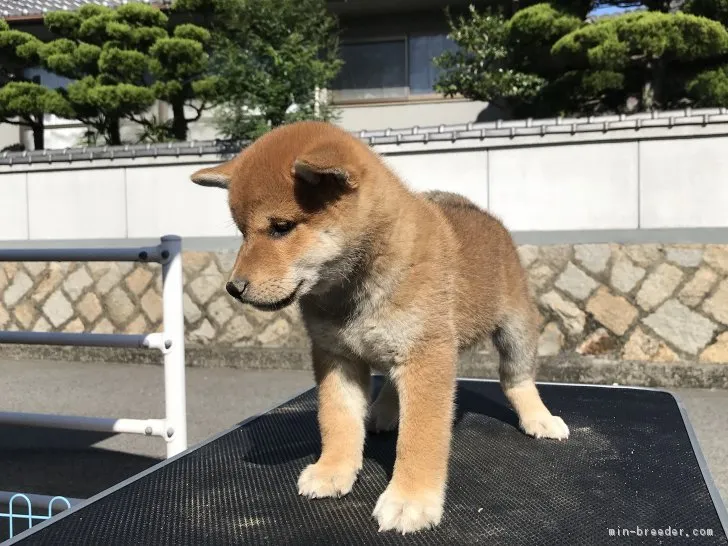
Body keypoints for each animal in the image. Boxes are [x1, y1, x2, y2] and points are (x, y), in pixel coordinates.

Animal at [188, 119, 568, 532]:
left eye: (281, 227)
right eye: (242, 233)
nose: (233, 287)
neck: (353, 288)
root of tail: (481, 212)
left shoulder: (426, 355)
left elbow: (420, 436)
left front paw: (411, 498)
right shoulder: (335, 356)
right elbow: (337, 420)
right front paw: (333, 469)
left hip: (515, 327)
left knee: (517, 379)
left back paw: (538, 418)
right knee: (390, 383)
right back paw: (383, 412)